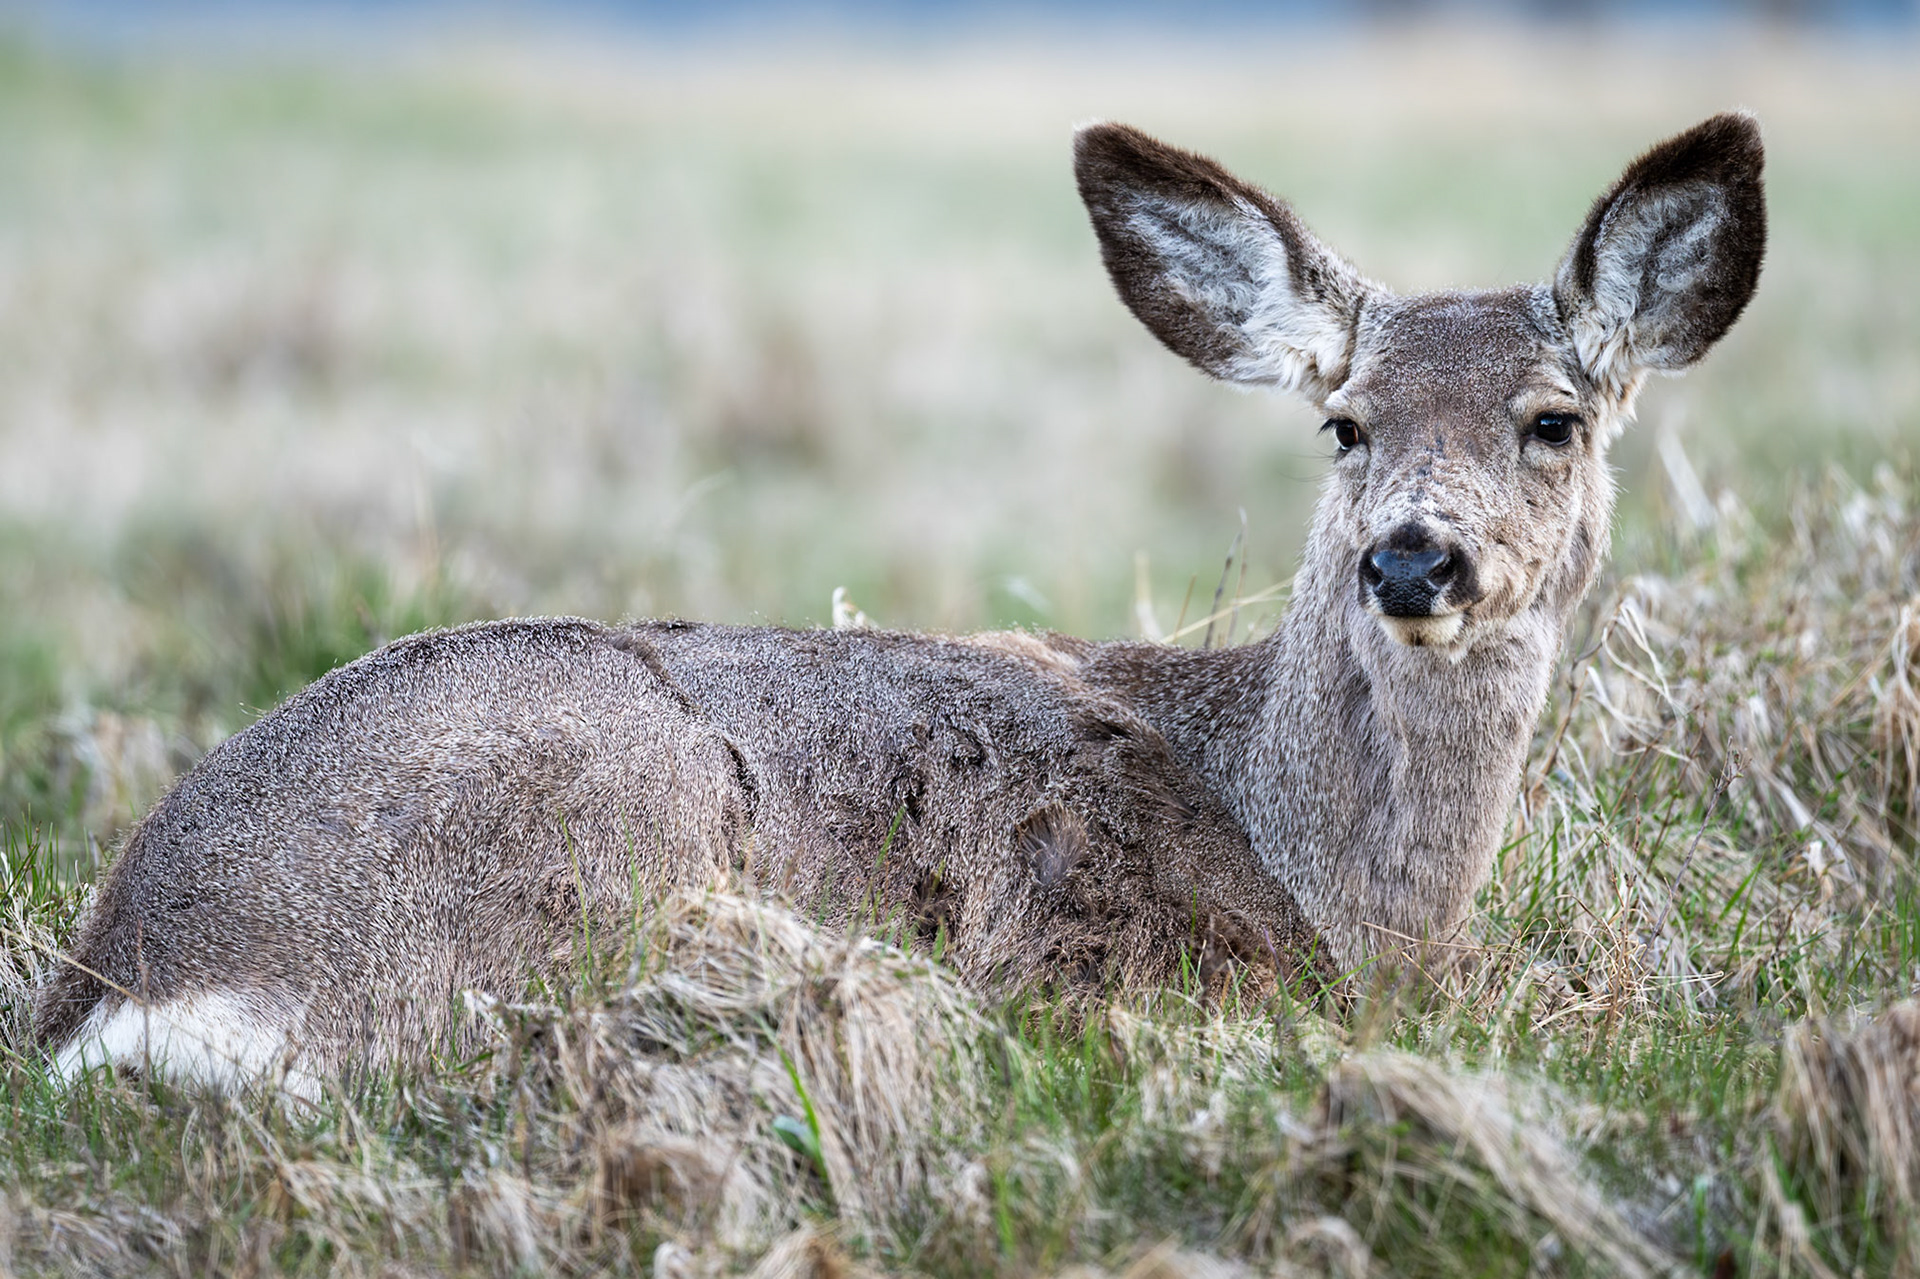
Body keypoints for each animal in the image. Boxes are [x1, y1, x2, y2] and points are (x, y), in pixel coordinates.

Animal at [34, 112, 1764, 1091]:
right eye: (1345, 423)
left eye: (1554, 417)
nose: (1411, 559)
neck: (1332, 883)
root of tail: (130, 989)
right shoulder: (1117, 955)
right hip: (596, 833)